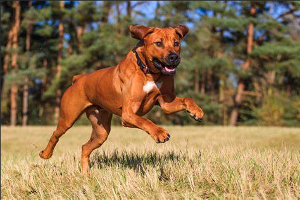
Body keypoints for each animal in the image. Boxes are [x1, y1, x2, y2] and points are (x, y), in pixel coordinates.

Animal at [39, 24, 204, 173]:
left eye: (176, 43)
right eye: (158, 43)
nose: (174, 57)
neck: (149, 71)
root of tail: (79, 79)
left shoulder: (166, 102)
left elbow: (186, 99)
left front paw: (196, 111)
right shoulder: (128, 114)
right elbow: (145, 120)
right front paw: (159, 132)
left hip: (101, 131)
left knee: (85, 147)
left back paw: (86, 175)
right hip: (68, 118)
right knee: (55, 134)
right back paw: (45, 154)